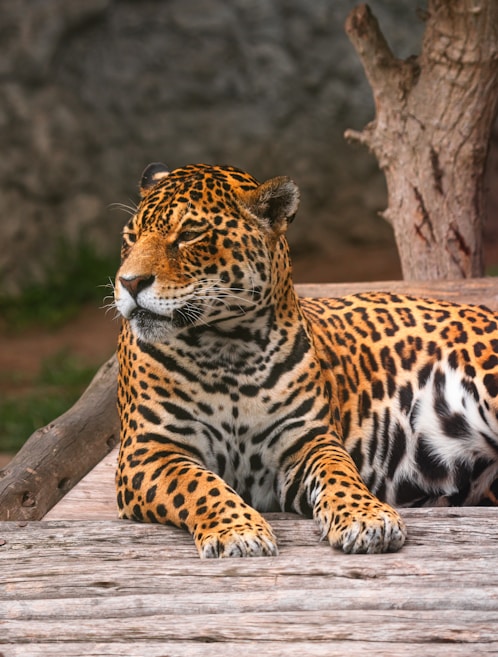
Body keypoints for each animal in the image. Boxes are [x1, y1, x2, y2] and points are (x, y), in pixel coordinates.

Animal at [114, 161, 498, 558]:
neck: (228, 348)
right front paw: (239, 531)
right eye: (130, 237)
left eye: (189, 234)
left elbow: (340, 473)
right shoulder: (149, 450)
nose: (128, 283)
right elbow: (199, 484)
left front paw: (367, 517)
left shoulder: (308, 440)